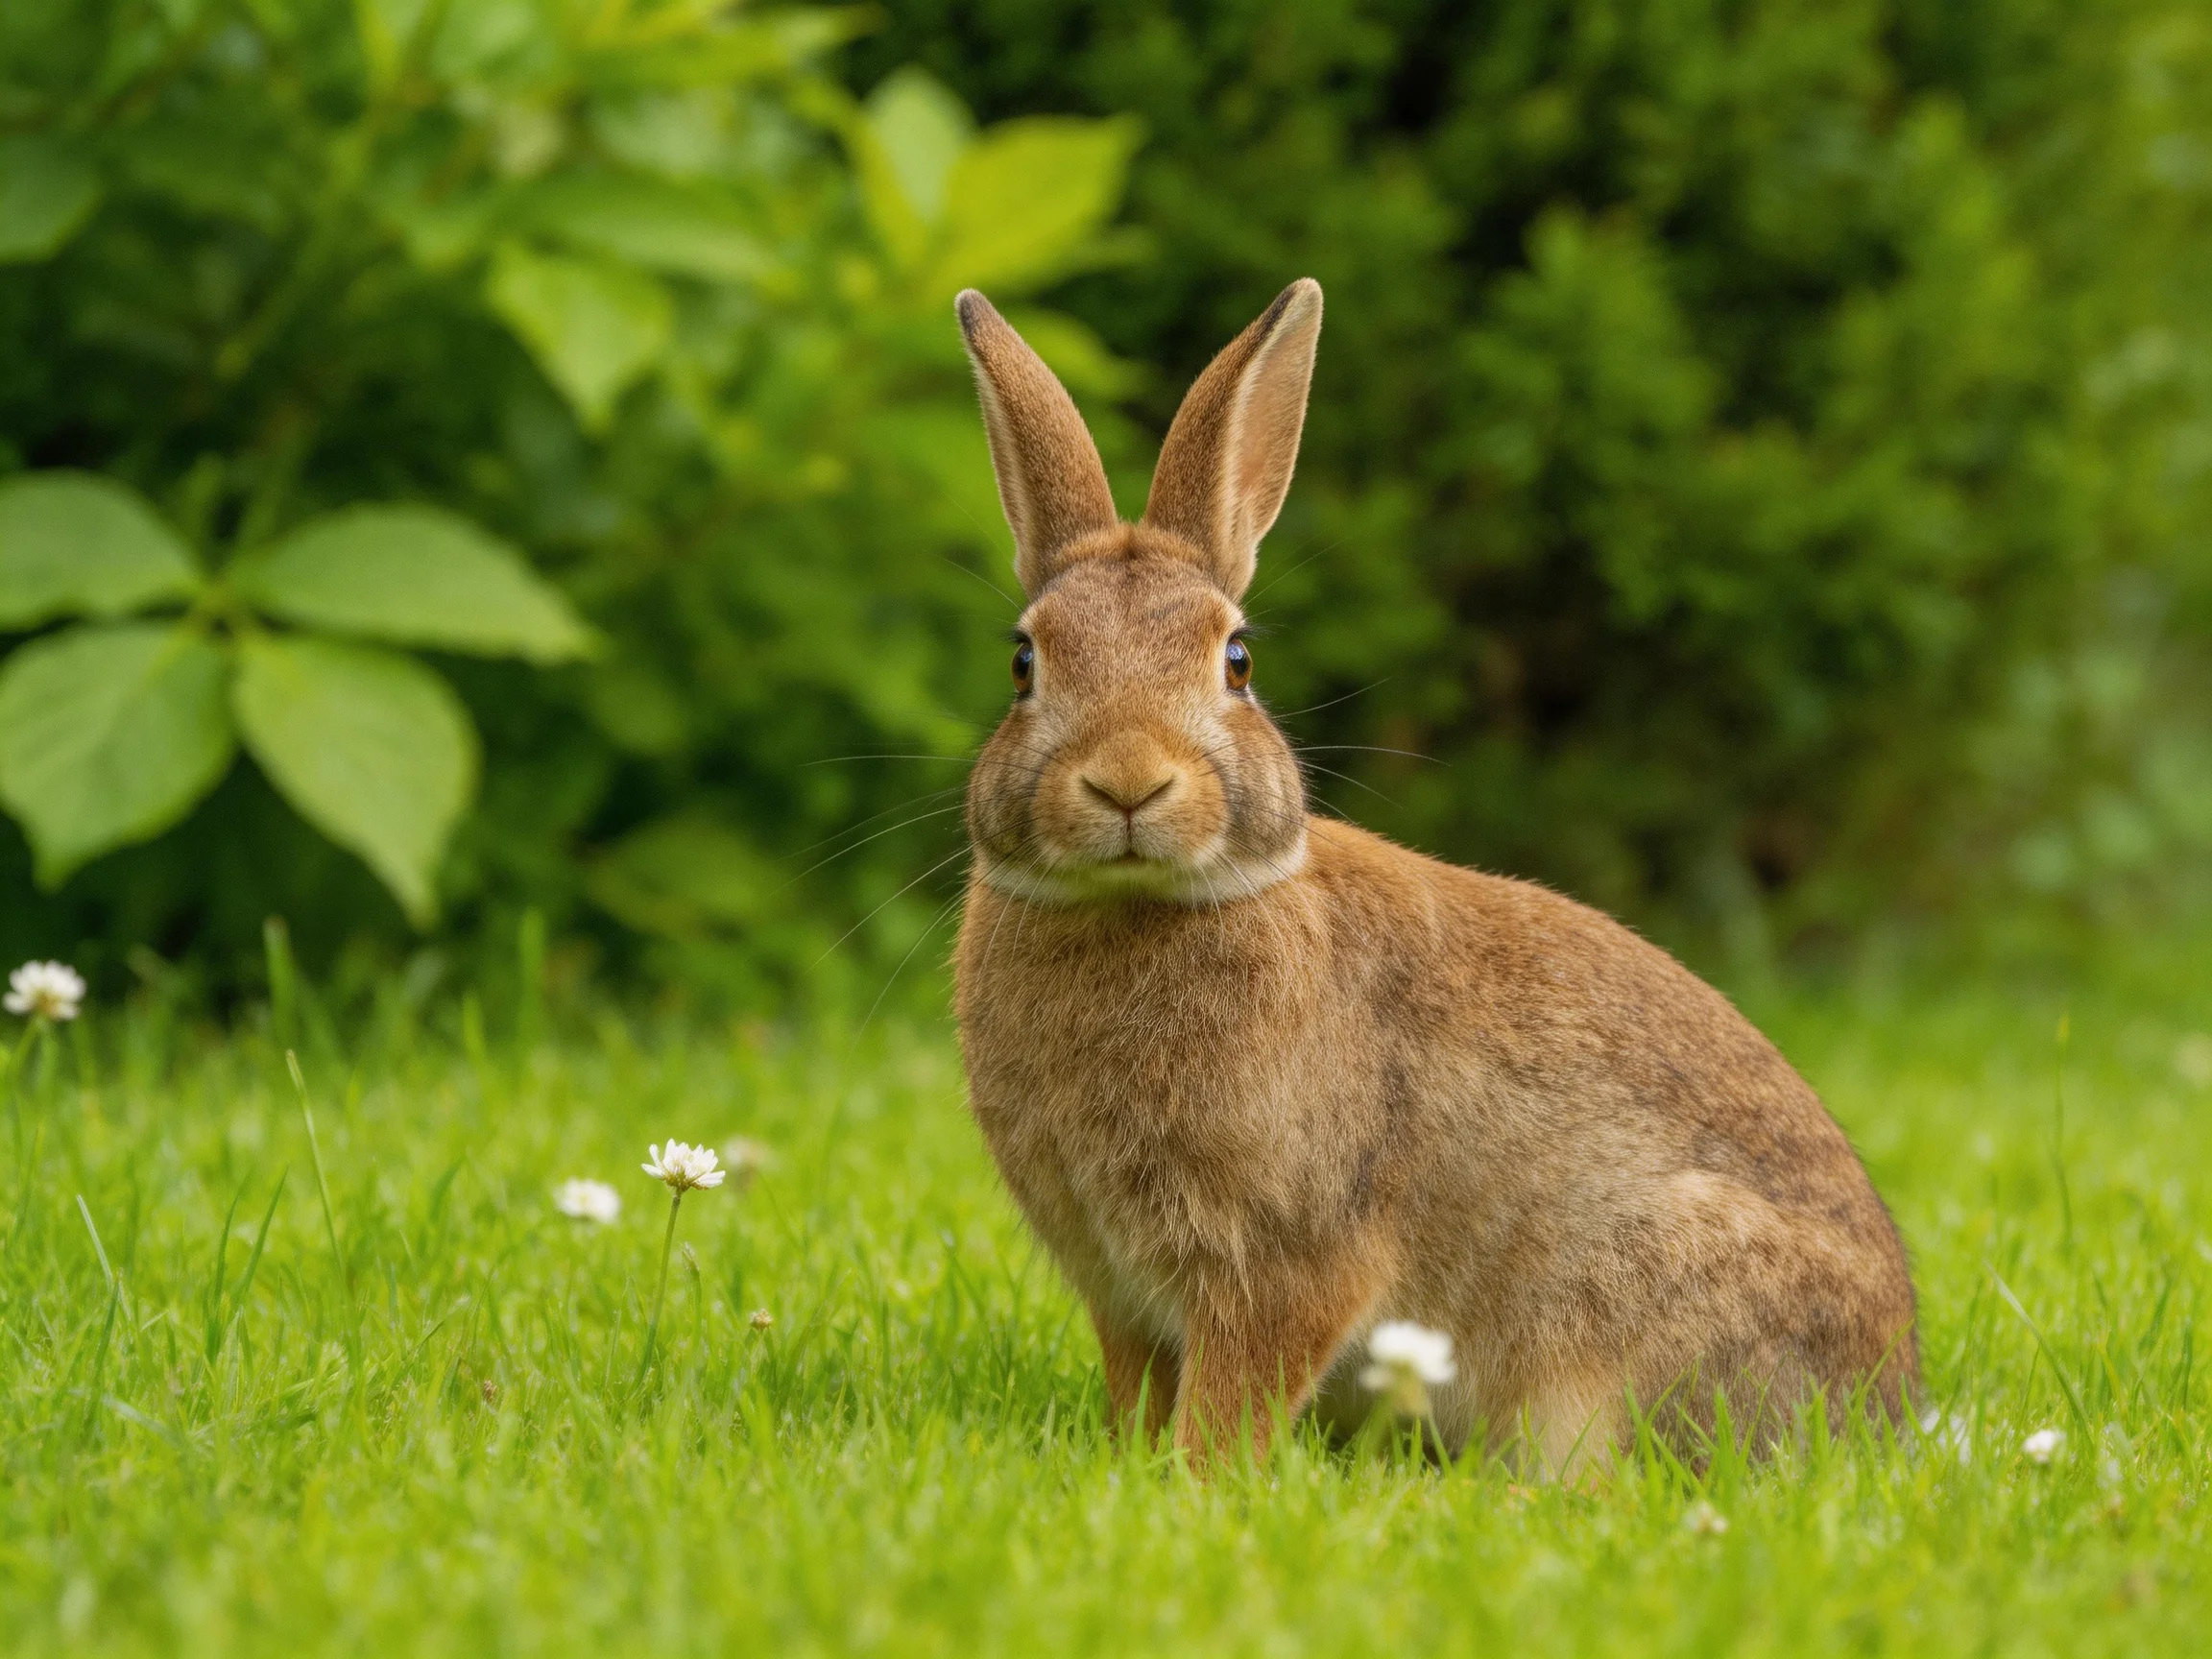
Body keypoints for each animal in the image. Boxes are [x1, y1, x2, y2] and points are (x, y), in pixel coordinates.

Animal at [950, 278, 1918, 1472]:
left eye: (1238, 662)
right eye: (1024, 662)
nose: (1129, 780)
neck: (1140, 907)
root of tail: (1890, 1409)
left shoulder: (1288, 1260)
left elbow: (1238, 1391)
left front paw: (1197, 1479)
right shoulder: (1122, 1293)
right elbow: (1145, 1385)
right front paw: (1134, 1464)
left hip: (1615, 1316)